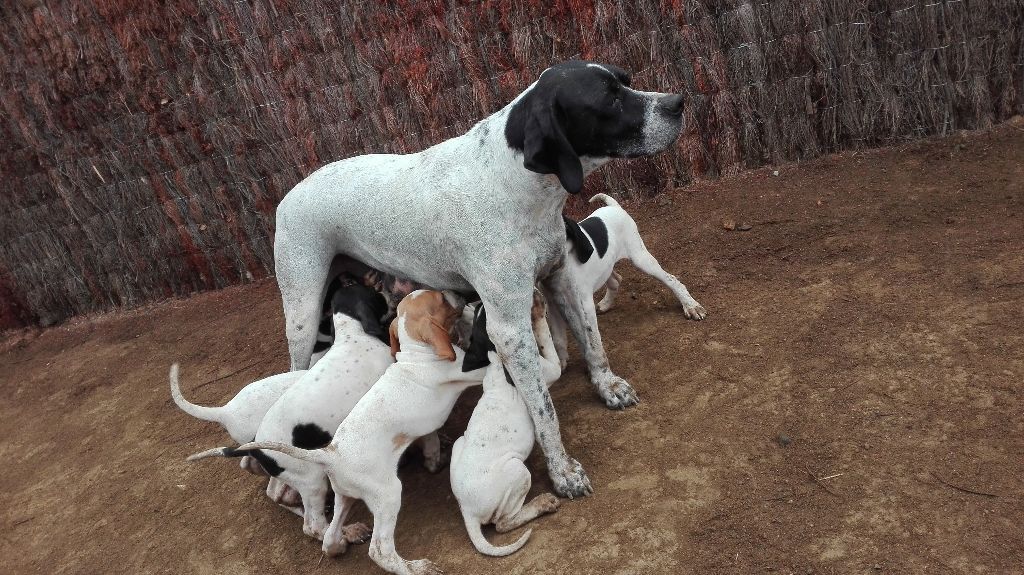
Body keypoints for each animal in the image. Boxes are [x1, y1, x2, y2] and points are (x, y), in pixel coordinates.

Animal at [186, 284, 393, 540]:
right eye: (373, 293)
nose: (388, 292)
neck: (352, 335)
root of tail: (257, 448)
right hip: (312, 478)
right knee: (313, 526)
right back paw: (347, 533)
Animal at [243, 288, 487, 572]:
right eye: (440, 298)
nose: (459, 293)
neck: (417, 355)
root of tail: (331, 454)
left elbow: (431, 440)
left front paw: (434, 457)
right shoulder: (469, 371)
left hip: (342, 494)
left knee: (326, 533)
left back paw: (343, 539)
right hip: (380, 493)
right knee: (375, 549)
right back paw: (416, 567)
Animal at [276, 60, 684, 495]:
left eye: (625, 80)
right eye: (609, 98)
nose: (679, 102)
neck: (516, 183)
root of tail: (287, 196)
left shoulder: (561, 281)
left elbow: (593, 343)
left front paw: (607, 387)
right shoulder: (509, 327)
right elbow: (544, 408)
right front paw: (562, 471)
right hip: (301, 314)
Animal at [448, 292, 561, 552]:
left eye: (480, 308)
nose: (471, 299)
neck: (491, 357)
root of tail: (467, 512)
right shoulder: (549, 370)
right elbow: (546, 340)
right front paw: (536, 308)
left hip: (459, 442)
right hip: (517, 470)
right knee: (503, 523)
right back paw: (542, 504)